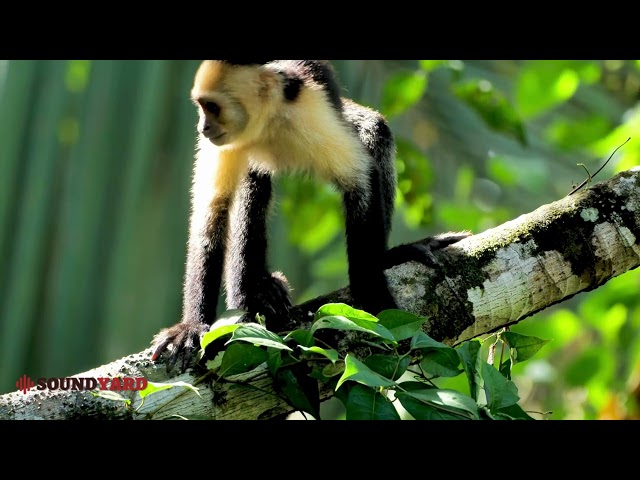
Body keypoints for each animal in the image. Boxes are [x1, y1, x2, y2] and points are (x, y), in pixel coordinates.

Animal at [152, 59, 468, 368]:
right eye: (202, 107)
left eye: (212, 107)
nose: (203, 127)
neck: (265, 125)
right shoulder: (226, 144)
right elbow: (210, 218)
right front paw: (193, 325)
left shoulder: (310, 111)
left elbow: (362, 178)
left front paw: (370, 293)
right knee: (252, 179)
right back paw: (251, 291)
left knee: (374, 129)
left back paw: (386, 257)